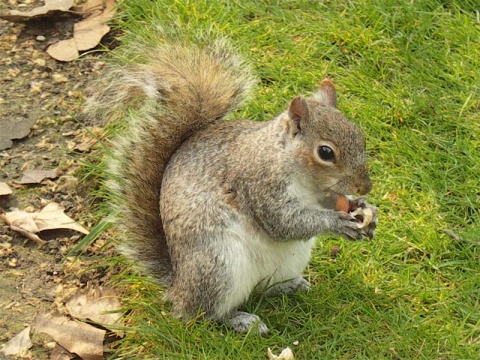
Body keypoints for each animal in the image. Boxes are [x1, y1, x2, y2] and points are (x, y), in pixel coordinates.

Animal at [87, 39, 378, 334]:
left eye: (360, 135)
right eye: (326, 152)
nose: (365, 187)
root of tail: (178, 287)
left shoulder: (319, 193)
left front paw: (365, 210)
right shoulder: (259, 184)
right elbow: (284, 222)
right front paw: (337, 223)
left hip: (286, 260)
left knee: (262, 288)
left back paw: (290, 286)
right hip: (219, 265)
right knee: (204, 313)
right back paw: (241, 320)